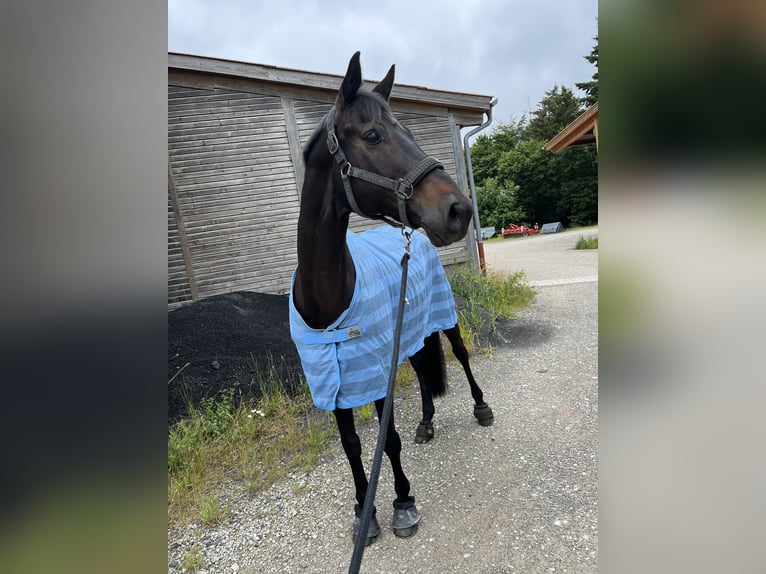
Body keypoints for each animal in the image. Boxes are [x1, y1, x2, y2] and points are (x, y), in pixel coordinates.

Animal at [292, 51, 496, 548]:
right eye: (372, 135)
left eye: (408, 132)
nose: (459, 210)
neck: (328, 302)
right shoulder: (336, 378)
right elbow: (354, 445)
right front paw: (362, 512)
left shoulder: (373, 367)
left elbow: (389, 440)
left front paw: (403, 502)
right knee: (423, 370)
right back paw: (427, 421)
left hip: (444, 318)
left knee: (460, 355)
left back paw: (481, 407)